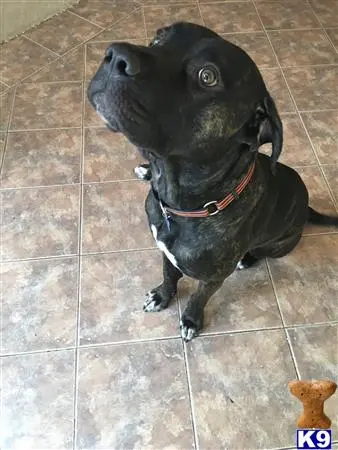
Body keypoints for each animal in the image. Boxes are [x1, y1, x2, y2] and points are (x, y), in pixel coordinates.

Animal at [88, 22, 338, 342]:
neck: (182, 204)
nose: (115, 56)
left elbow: (199, 297)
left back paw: (248, 259)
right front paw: (162, 295)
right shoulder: (164, 251)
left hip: (278, 246)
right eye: (158, 38)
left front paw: (191, 319)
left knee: (261, 253)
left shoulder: (213, 277)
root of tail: (307, 210)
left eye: (207, 76)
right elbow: (169, 275)